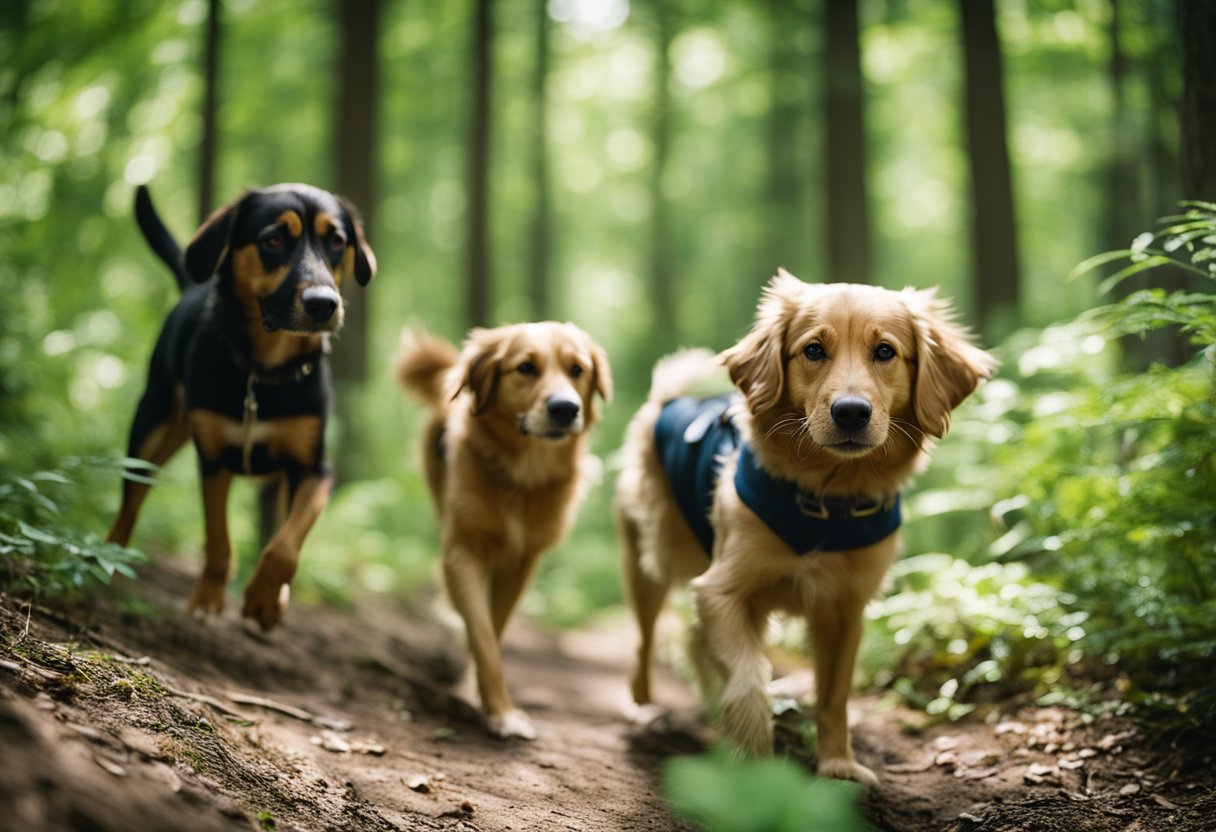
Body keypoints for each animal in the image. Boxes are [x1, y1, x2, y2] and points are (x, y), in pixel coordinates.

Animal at [108, 180, 374, 622]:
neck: (263, 373)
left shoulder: (313, 469)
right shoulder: (214, 460)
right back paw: (108, 559)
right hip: (149, 431)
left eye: (336, 242)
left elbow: (285, 545)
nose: (324, 303)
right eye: (274, 239)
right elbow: (218, 540)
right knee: (130, 503)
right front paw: (208, 598)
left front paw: (266, 598)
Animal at [396, 321, 608, 739]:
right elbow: (481, 635)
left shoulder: (521, 561)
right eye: (525, 367)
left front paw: (486, 700)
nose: (566, 408)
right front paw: (502, 713)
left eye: (577, 369)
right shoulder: (462, 551)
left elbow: (494, 628)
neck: (523, 476)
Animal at [617, 270, 997, 783]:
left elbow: (834, 698)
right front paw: (754, 765)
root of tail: (671, 400)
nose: (851, 411)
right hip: (647, 561)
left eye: (885, 351)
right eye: (814, 350)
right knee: (644, 641)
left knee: (694, 642)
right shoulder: (722, 590)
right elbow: (749, 682)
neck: (826, 502)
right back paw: (644, 708)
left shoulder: (844, 610)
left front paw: (838, 764)